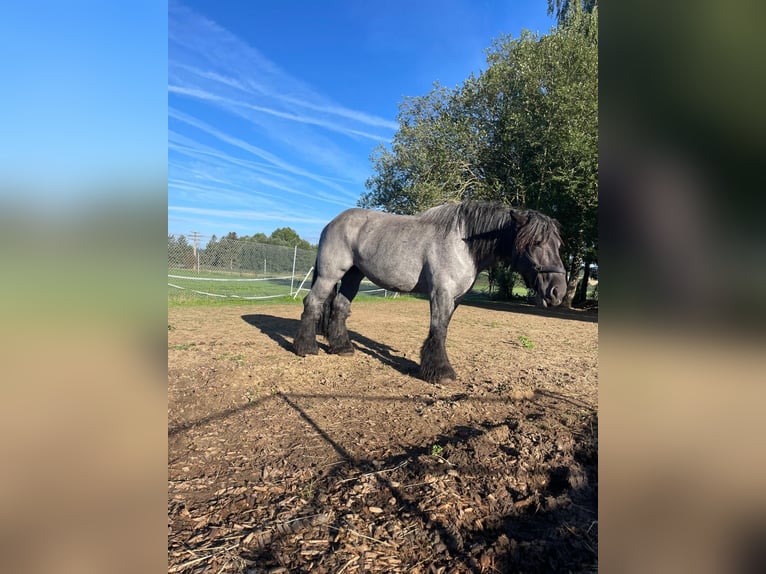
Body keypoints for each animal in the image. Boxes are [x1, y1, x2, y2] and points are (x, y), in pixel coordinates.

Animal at [292, 200, 568, 384]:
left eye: (557, 244)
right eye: (535, 243)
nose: (558, 291)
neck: (462, 243)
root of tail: (332, 223)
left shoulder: (455, 298)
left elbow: (443, 329)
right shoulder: (441, 293)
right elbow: (439, 330)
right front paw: (441, 372)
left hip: (352, 275)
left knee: (339, 307)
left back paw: (343, 348)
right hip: (330, 275)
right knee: (312, 303)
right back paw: (306, 347)